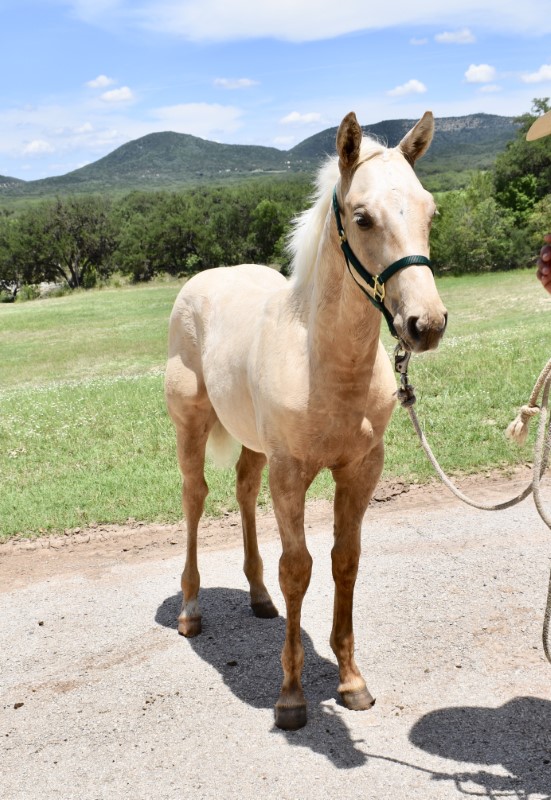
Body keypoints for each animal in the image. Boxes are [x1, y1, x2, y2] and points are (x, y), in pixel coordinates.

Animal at [165, 109, 448, 728]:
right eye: (362, 217)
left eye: (430, 210)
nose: (426, 324)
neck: (325, 365)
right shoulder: (291, 472)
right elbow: (298, 568)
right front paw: (291, 696)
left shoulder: (361, 469)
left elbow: (345, 561)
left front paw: (351, 680)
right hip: (191, 425)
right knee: (195, 497)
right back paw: (191, 609)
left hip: (254, 444)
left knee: (243, 492)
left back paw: (258, 598)